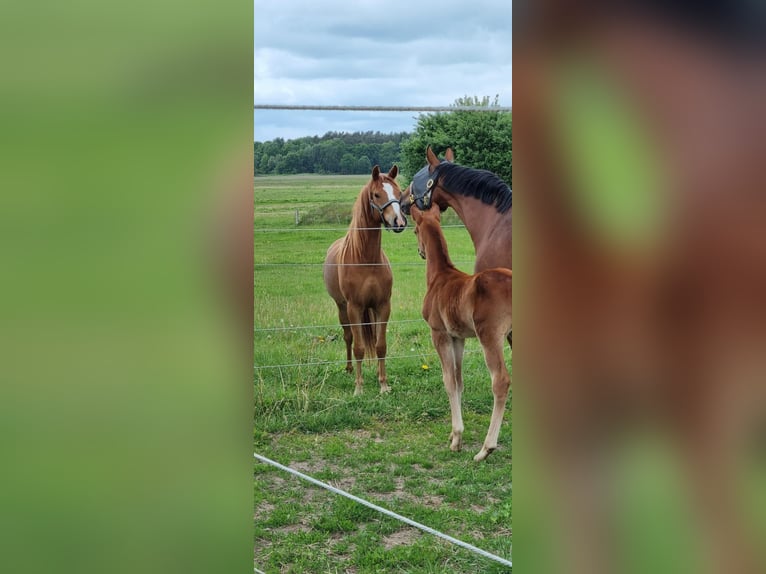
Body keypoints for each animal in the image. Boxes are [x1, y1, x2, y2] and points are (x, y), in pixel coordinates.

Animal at [322, 165, 407, 395]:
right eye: (376, 194)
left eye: (399, 193)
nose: (399, 222)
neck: (366, 259)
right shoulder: (354, 307)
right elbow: (359, 347)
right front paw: (359, 388)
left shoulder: (382, 306)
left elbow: (380, 345)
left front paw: (383, 384)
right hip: (342, 307)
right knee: (348, 337)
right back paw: (350, 369)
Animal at [411, 203, 512, 461]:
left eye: (415, 230)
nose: (421, 252)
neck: (440, 276)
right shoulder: (458, 338)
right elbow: (458, 381)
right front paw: (453, 434)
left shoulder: (439, 334)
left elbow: (448, 380)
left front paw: (456, 438)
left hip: (490, 337)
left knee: (500, 381)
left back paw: (486, 449)